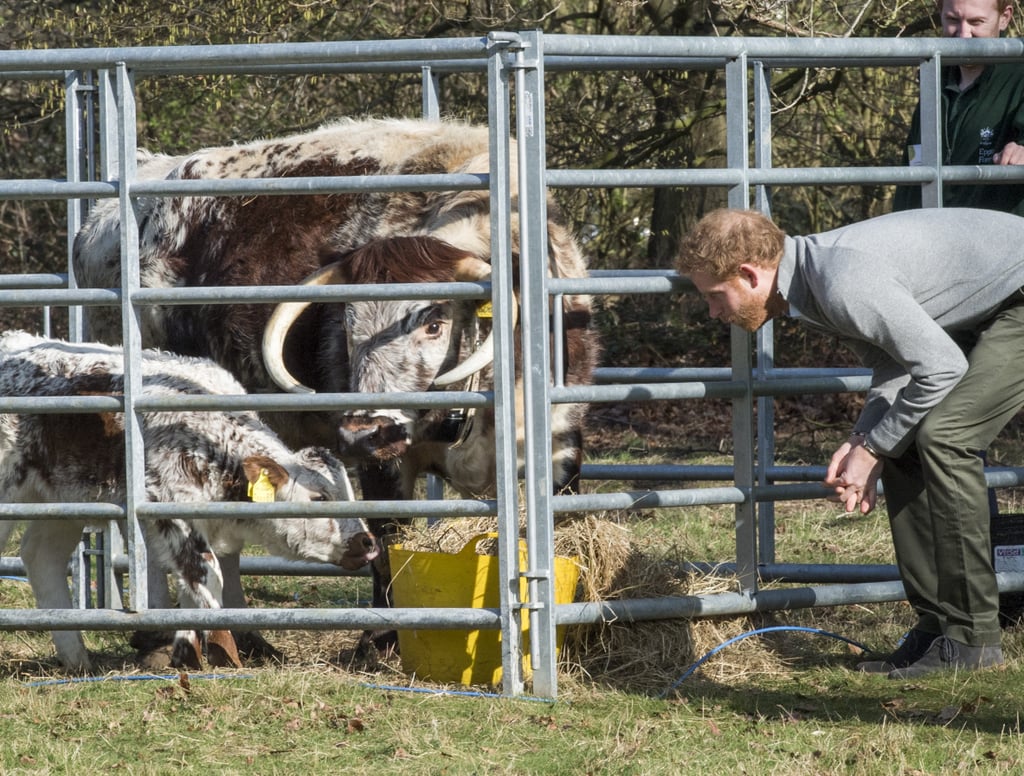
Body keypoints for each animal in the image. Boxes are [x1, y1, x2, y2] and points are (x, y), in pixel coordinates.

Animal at [72, 117, 598, 630]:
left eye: (434, 322)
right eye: (346, 324)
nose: (365, 430)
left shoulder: (561, 446)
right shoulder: (384, 467)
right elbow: (388, 546)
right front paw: (385, 636)